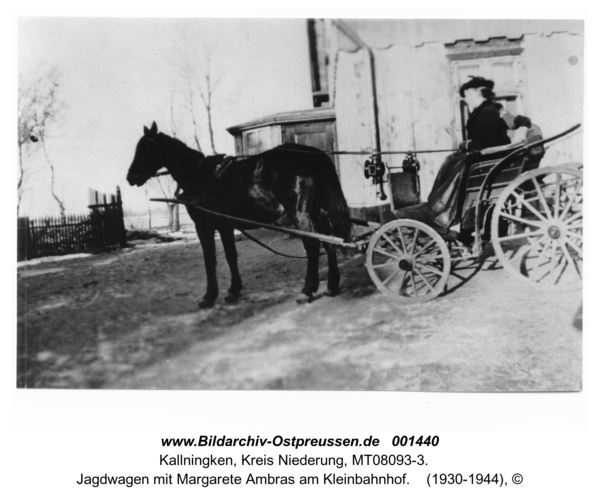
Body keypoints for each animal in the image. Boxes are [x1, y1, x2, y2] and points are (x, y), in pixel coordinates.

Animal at [126, 121, 352, 306]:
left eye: (146, 148)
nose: (130, 177)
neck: (200, 176)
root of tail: (312, 155)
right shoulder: (225, 226)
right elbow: (230, 256)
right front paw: (233, 291)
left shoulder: (204, 226)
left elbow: (210, 259)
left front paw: (209, 296)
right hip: (317, 213)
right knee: (329, 242)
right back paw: (331, 286)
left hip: (300, 213)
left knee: (313, 245)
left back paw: (306, 291)